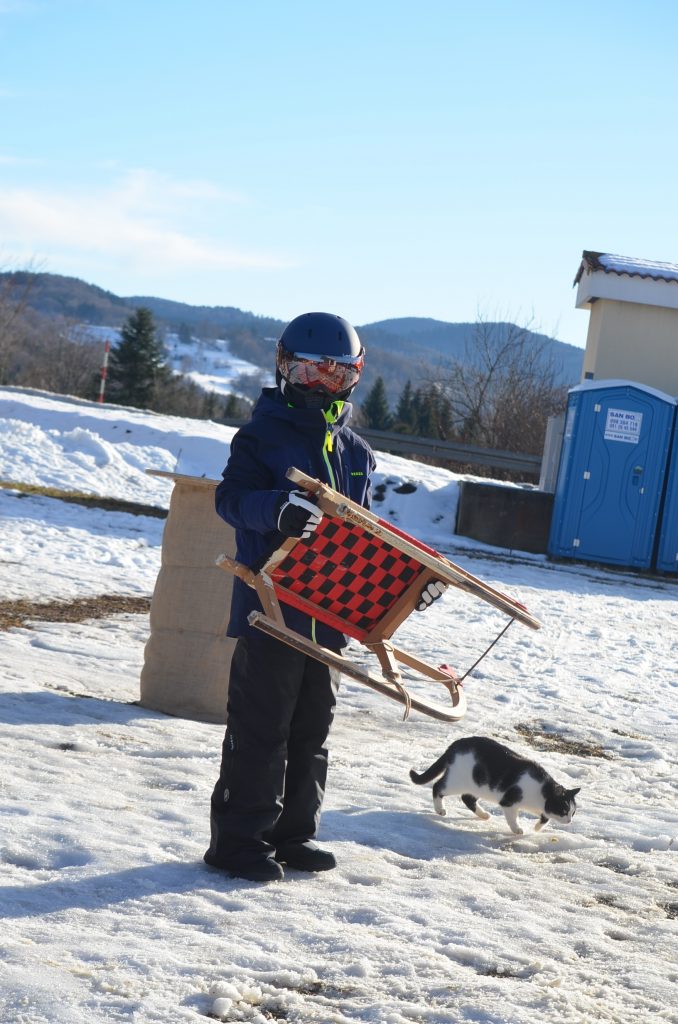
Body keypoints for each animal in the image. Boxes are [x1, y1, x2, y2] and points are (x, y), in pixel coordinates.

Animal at [411, 737, 581, 831]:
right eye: (564, 810)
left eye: (573, 813)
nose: (569, 821)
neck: (541, 792)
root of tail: (454, 745)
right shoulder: (509, 802)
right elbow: (512, 819)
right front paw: (517, 829)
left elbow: (546, 817)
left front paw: (537, 827)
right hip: (456, 781)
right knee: (438, 787)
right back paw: (440, 810)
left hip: (476, 786)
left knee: (467, 798)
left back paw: (484, 815)